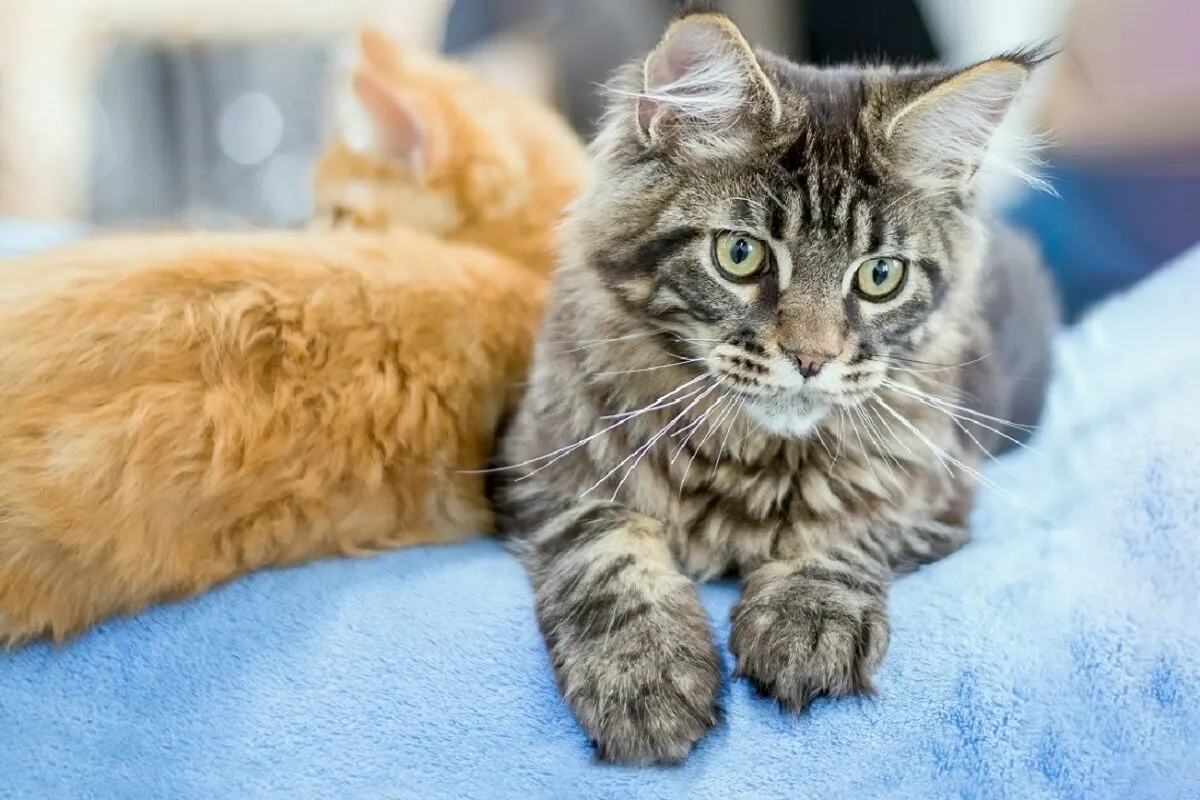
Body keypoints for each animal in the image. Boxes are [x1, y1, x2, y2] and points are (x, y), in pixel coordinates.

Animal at [492, 10, 1056, 762]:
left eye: (880, 276)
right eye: (740, 255)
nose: (811, 359)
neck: (746, 456)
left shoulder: (935, 489)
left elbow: (843, 528)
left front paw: (806, 621)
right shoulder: (538, 466)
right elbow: (607, 547)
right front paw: (645, 675)